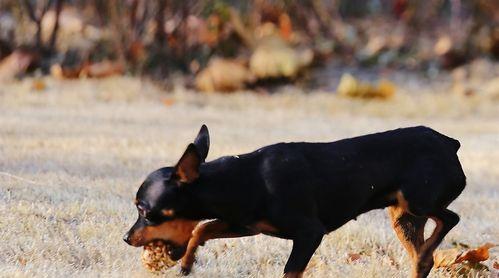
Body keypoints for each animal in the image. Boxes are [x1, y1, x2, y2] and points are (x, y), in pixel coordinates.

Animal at [123, 125, 466, 278]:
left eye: (146, 212)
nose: (126, 238)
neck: (239, 179)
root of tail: (450, 143)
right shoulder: (246, 224)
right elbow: (201, 229)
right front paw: (186, 263)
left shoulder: (309, 234)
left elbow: (290, 272)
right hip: (403, 217)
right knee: (423, 257)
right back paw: (423, 257)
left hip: (416, 202)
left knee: (450, 219)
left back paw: (429, 247)